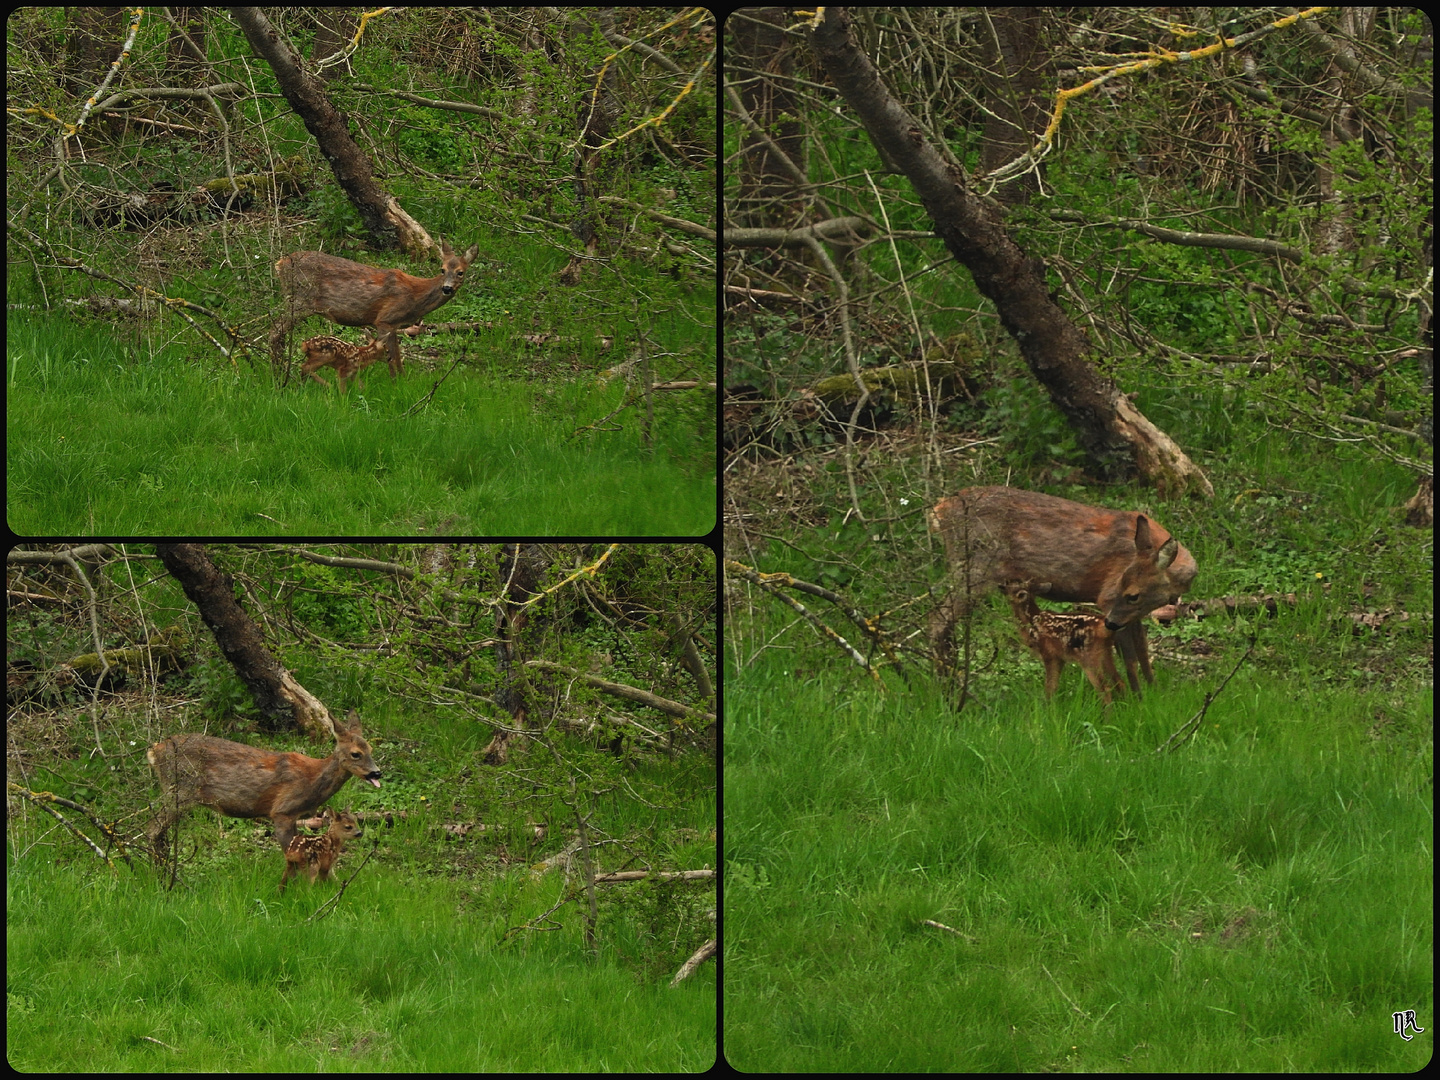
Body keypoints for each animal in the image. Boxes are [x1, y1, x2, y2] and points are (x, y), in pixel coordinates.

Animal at [146, 714, 380, 858]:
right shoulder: (282, 810)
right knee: (153, 830)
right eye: (355, 754)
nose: (377, 772)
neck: (312, 780)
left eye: (370, 749)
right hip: (179, 790)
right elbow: (291, 853)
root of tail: (153, 751)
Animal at [275, 240, 483, 380]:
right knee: (274, 333)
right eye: (442, 269)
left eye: (460, 272)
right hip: (300, 301)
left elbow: (397, 356)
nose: (446, 288)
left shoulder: (394, 325)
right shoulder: (384, 320)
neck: (415, 298)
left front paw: (403, 381)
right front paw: (395, 383)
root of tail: (280, 263)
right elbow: (392, 358)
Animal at [927, 486, 1198, 673]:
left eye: (1134, 596)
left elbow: (1143, 653)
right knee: (937, 621)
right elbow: (1130, 657)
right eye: (1124, 587)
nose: (1110, 622)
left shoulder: (1132, 614)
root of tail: (938, 511)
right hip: (975, 568)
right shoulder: (1108, 599)